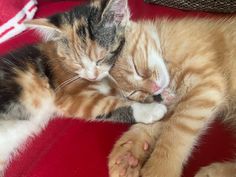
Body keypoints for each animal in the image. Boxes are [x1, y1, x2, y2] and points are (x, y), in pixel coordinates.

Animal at [0, 0, 167, 174]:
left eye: (100, 59)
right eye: (77, 63)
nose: (92, 76)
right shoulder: (67, 96)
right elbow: (105, 104)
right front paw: (150, 110)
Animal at [109, 17, 236, 177]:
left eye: (137, 68)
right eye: (132, 94)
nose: (154, 88)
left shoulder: (206, 85)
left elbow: (176, 131)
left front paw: (160, 168)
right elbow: (155, 121)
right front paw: (129, 153)